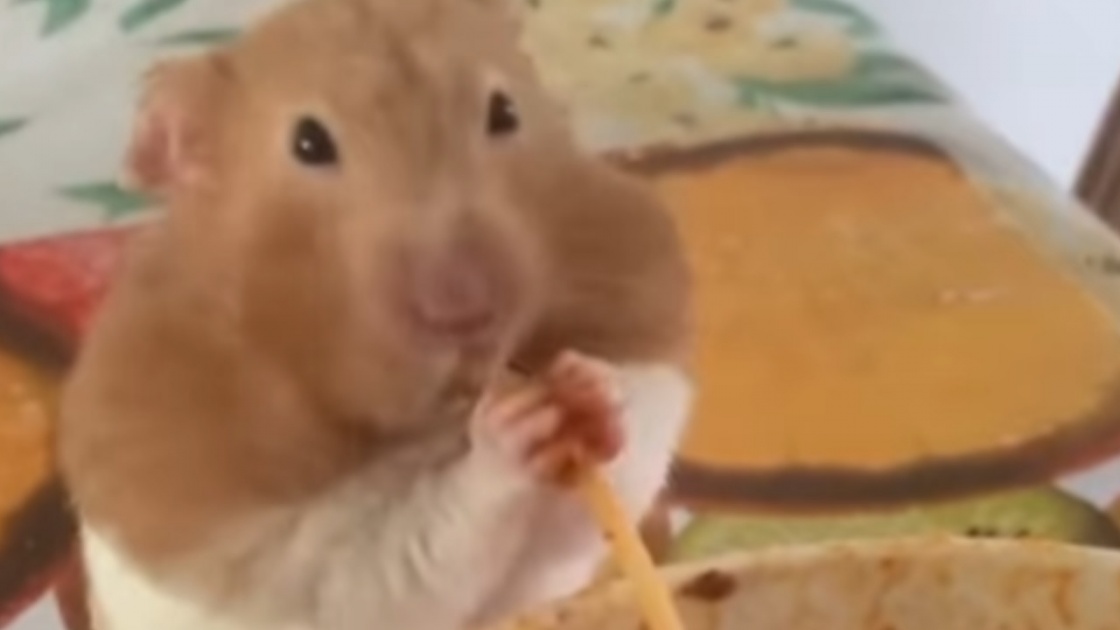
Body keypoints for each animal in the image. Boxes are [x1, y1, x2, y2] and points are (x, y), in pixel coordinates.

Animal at [57, 0, 693, 628]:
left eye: (504, 110)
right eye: (308, 142)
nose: (466, 312)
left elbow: (607, 480)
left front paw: (592, 387)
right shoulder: (282, 554)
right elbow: (409, 547)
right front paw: (514, 428)